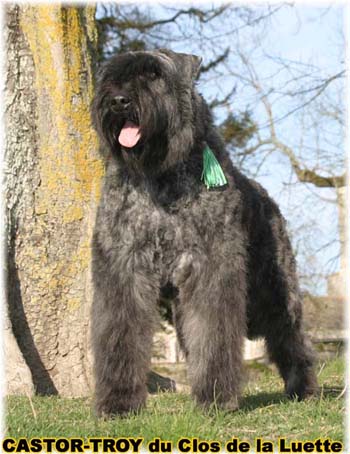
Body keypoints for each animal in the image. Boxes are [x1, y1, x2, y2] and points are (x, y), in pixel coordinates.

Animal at [89, 48, 318, 414]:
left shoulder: (211, 268)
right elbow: (119, 335)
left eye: (154, 75)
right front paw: (118, 402)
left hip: (274, 290)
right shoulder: (123, 268)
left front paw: (216, 398)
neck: (160, 176)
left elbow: (214, 334)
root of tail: (267, 199)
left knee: (291, 337)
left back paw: (304, 388)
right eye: (112, 76)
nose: (119, 100)